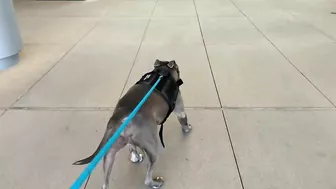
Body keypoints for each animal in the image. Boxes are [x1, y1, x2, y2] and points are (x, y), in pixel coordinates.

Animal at [73, 59, 192, 189]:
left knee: (107, 179)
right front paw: (187, 128)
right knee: (148, 175)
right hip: (152, 147)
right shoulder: (179, 108)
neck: (162, 72)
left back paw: (135, 157)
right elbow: (183, 119)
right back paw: (155, 183)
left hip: (110, 154)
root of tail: (120, 120)